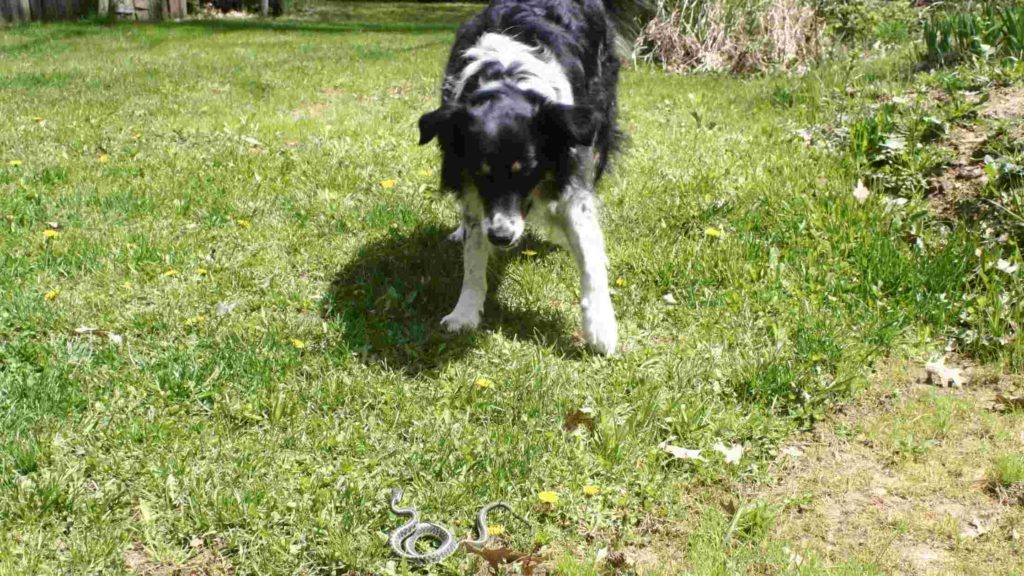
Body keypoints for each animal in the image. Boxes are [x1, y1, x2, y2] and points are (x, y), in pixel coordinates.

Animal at [417, 0, 626, 354]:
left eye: (526, 170)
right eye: (481, 172)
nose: (501, 237)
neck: (507, 79)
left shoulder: (574, 179)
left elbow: (590, 258)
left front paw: (601, 327)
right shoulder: (473, 190)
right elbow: (474, 255)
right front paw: (465, 312)